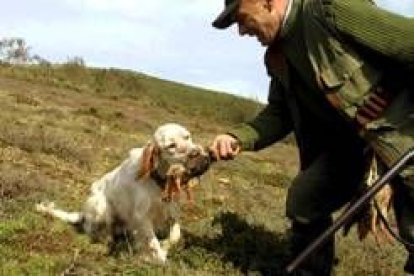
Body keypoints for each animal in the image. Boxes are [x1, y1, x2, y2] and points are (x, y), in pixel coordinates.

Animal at [34, 123, 210, 264]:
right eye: (171, 145)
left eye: (187, 136)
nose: (200, 155)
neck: (158, 180)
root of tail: (82, 213)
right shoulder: (142, 217)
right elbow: (153, 243)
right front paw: (157, 258)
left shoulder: (172, 211)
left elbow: (175, 236)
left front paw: (164, 247)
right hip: (101, 205)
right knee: (92, 228)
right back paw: (106, 239)